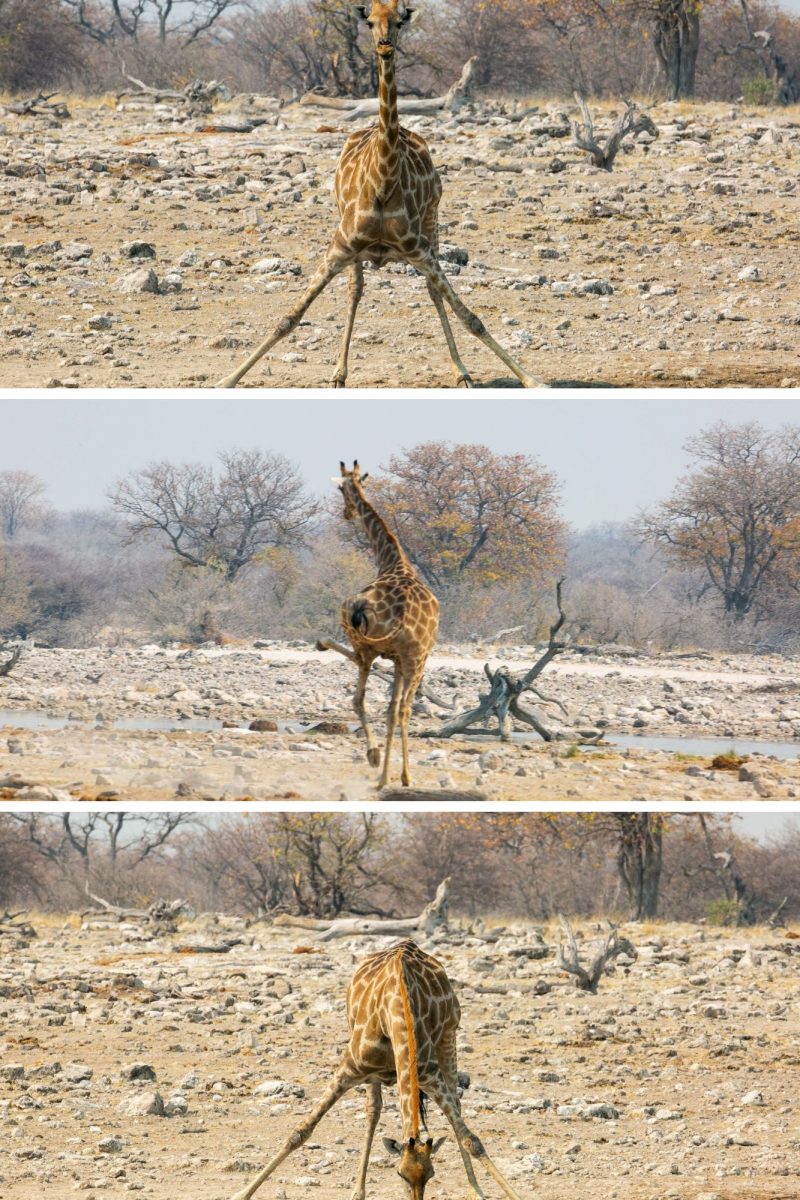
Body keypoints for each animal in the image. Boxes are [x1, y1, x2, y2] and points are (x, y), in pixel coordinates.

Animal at [216, 0, 540, 391]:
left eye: (400, 20)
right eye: (369, 21)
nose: (385, 45)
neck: (383, 183)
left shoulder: (420, 250)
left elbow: (471, 317)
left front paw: (532, 380)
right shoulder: (338, 247)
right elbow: (288, 318)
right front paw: (226, 380)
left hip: (432, 222)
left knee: (432, 292)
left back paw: (461, 372)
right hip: (354, 243)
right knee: (355, 290)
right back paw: (339, 374)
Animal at [228, 940, 524, 1200]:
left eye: (431, 1175)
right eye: (400, 1174)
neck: (396, 1014)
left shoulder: (428, 1075)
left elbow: (471, 1140)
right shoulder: (348, 1069)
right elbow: (300, 1132)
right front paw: (241, 1194)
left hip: (448, 1035)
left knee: (456, 1104)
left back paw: (475, 1191)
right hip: (371, 1068)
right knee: (372, 1112)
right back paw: (357, 1192)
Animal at [316, 460, 438, 789]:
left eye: (341, 489)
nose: (348, 513)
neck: (391, 560)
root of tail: (404, 613)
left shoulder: (371, 647)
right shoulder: (397, 658)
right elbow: (393, 709)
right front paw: (394, 773)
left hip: (371, 647)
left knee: (359, 699)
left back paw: (376, 761)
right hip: (416, 658)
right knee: (403, 709)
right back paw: (401, 776)